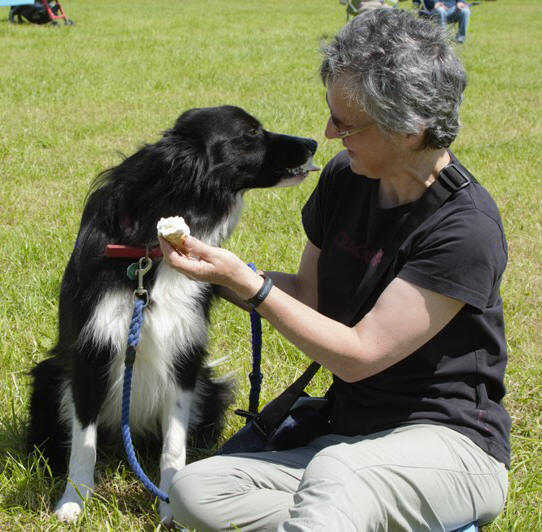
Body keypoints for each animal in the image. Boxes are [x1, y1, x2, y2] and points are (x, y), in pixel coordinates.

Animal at [28, 105, 318, 524]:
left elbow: (174, 446)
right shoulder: (90, 352)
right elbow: (83, 443)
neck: (146, 250)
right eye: (250, 133)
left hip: (210, 388)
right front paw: (72, 503)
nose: (313, 142)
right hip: (47, 378)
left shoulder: (185, 356)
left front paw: (169, 506)